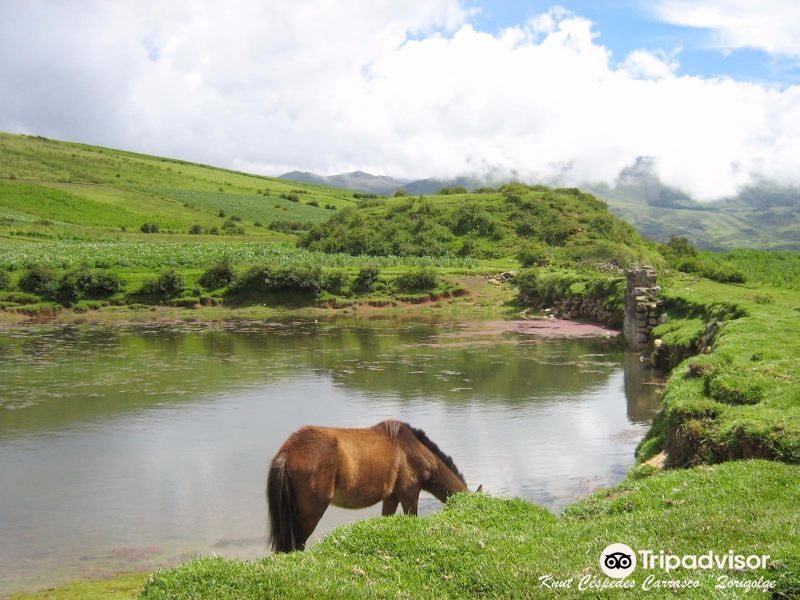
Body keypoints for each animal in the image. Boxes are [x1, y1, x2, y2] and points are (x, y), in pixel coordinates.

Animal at [268, 418, 468, 552]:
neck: (416, 450)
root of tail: (286, 452)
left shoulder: (391, 498)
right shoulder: (409, 495)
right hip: (311, 512)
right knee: (298, 544)